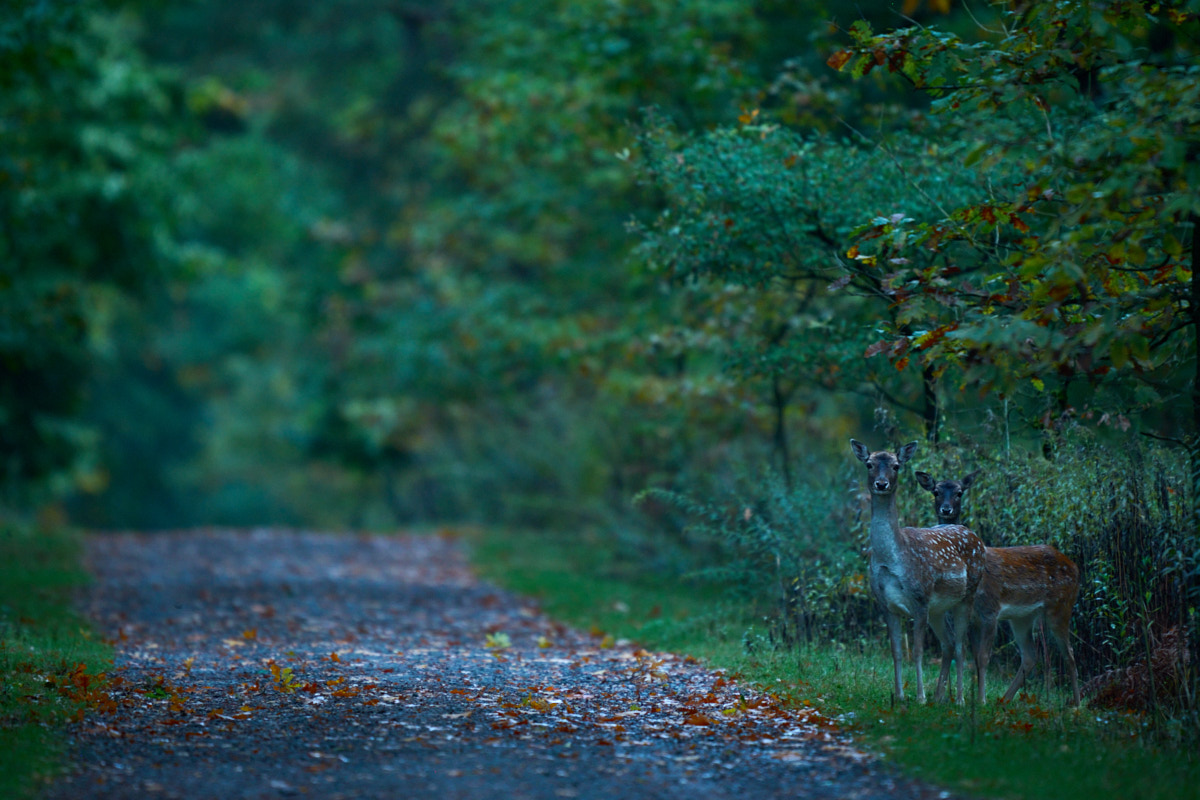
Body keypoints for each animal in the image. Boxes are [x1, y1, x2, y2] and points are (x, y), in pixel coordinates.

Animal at [854, 438, 984, 705]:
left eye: (896, 466)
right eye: (869, 464)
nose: (881, 484)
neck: (892, 559)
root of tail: (975, 536)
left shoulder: (920, 598)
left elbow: (917, 652)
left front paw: (920, 697)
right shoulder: (885, 604)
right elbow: (896, 652)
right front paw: (899, 695)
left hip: (968, 594)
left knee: (960, 646)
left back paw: (960, 699)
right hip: (939, 609)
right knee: (948, 643)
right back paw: (941, 698)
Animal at [912, 472, 1084, 705]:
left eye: (959, 492)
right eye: (936, 492)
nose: (946, 509)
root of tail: (1075, 566)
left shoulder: (990, 609)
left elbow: (984, 657)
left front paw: (980, 700)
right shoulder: (973, 617)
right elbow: (973, 657)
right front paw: (969, 697)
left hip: (1061, 605)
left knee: (1069, 654)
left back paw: (1076, 704)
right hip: (1022, 617)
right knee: (1030, 656)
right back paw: (1005, 700)